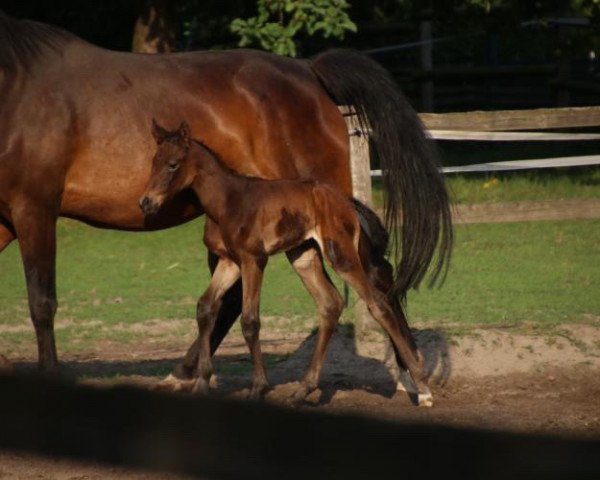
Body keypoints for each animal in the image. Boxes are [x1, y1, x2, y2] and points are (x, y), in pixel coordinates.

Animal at [139, 122, 434, 406]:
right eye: (153, 161)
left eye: (173, 164)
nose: (146, 202)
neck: (227, 202)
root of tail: (345, 201)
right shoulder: (229, 262)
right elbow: (205, 307)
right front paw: (201, 383)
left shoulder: (253, 259)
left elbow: (250, 321)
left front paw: (258, 387)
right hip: (303, 255)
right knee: (330, 303)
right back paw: (302, 390)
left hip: (340, 255)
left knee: (378, 304)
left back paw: (423, 388)